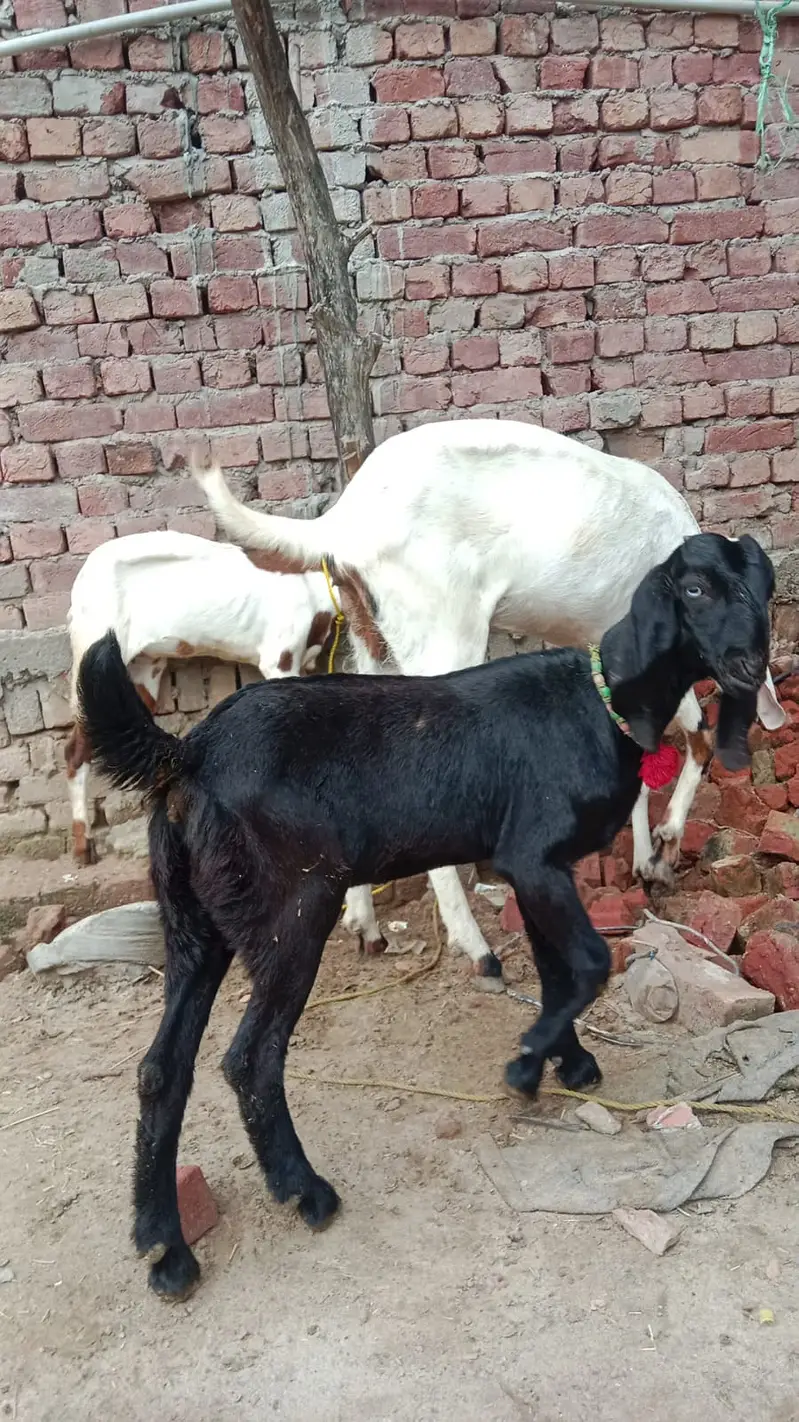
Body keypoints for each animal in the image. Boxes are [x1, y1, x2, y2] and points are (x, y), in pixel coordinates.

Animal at [64, 530, 335, 865]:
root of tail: (83, 575)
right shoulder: (280, 657)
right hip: (91, 651)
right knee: (76, 749)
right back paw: (84, 846)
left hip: (143, 667)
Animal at [194, 420, 785, 981]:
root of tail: (345, 519)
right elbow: (695, 737)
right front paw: (664, 844)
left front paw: (647, 858)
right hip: (440, 632)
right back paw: (476, 949)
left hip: (371, 637)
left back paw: (366, 925)